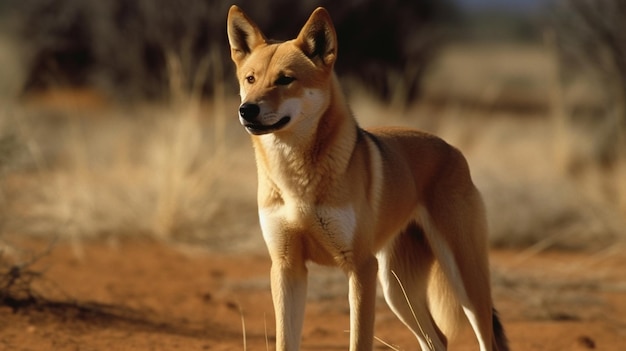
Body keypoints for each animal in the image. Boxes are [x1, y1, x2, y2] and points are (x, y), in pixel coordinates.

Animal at [225, 5, 508, 351]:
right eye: (250, 79)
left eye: (285, 80)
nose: (246, 109)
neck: (296, 179)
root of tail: (452, 150)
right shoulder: (287, 267)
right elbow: (285, 341)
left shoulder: (360, 267)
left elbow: (359, 339)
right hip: (397, 291)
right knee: (437, 338)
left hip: (463, 281)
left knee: (484, 338)